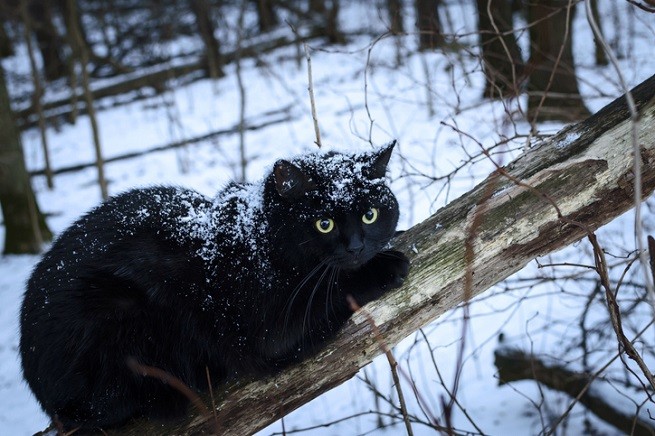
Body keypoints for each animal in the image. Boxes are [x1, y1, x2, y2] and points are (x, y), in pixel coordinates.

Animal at [19, 141, 410, 430]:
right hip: (114, 312)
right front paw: (386, 266)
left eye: (370, 215)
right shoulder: (269, 327)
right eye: (324, 224)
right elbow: (333, 290)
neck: (258, 237)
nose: (356, 247)